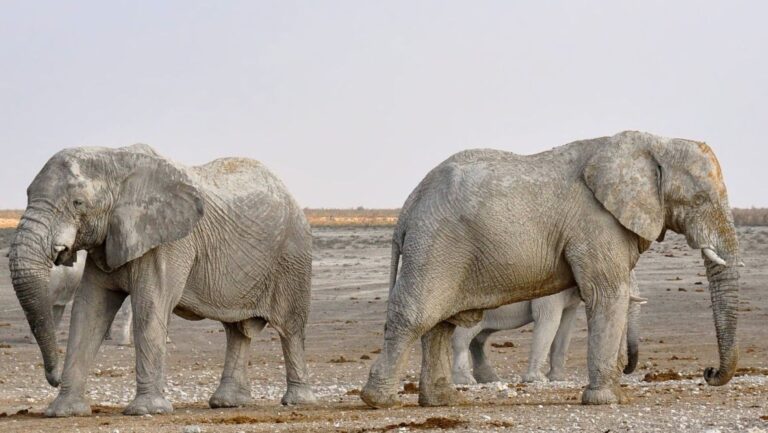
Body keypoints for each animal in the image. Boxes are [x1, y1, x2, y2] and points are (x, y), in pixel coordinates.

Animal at [8, 143, 316, 417]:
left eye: (78, 203)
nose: (54, 378)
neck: (115, 159)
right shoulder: (108, 241)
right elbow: (89, 310)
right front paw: (63, 412)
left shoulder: (170, 242)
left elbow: (150, 306)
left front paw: (147, 410)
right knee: (237, 331)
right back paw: (227, 403)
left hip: (293, 255)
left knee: (290, 327)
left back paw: (296, 401)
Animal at [451, 272, 644, 385]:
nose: (625, 369)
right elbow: (549, 320)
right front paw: (537, 379)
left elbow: (565, 326)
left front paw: (557, 379)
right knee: (463, 338)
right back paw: (465, 381)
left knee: (478, 340)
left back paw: (489, 380)